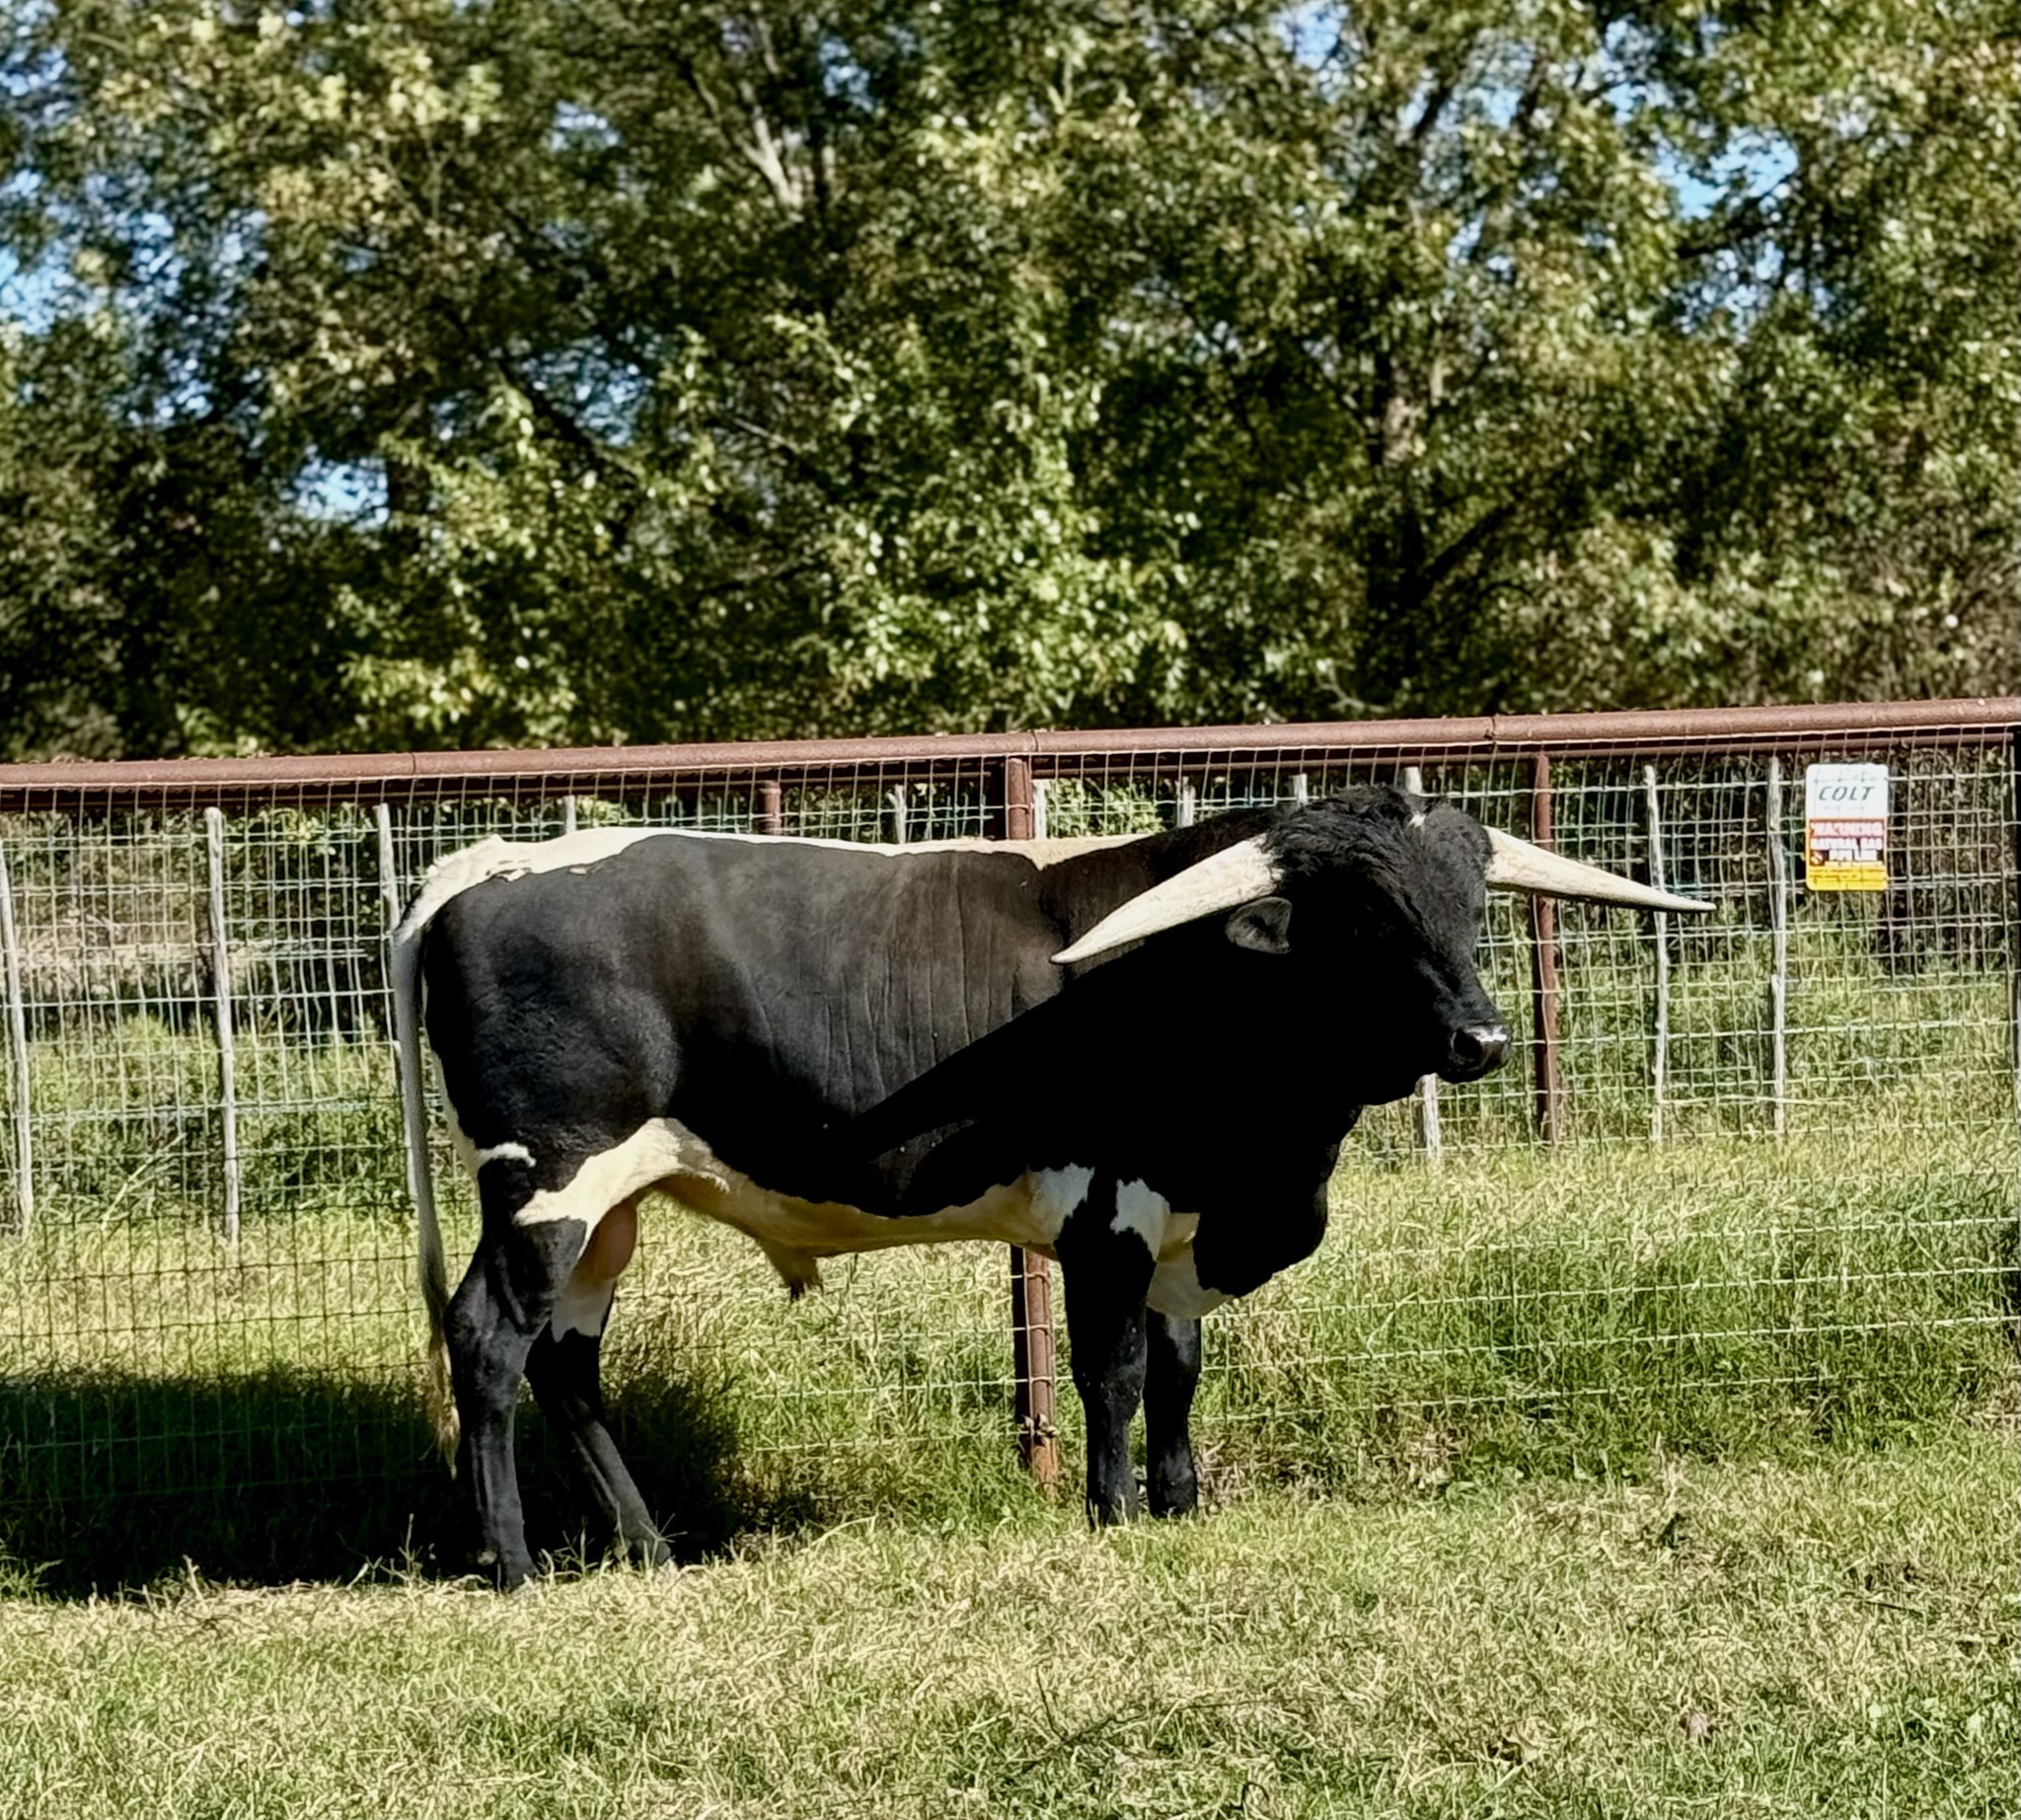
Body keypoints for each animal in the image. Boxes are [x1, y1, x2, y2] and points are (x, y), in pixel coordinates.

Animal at [391, 785, 1704, 1586]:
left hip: (608, 1206)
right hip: (545, 1181)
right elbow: (1110, 1374)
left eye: (1470, 907)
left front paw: (1180, 1506)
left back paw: (650, 1548)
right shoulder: (1104, 1211)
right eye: (1362, 921)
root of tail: (483, 863)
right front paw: (1112, 1514)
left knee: (567, 1364)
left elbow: (1178, 1373)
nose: (1481, 1038)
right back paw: (511, 1561)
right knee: (489, 1342)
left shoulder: (1179, 1224)